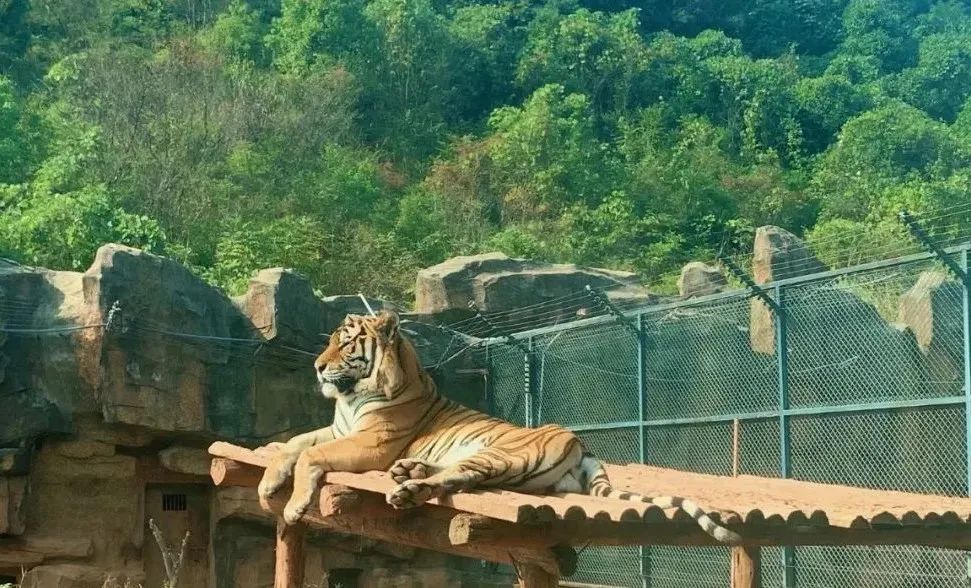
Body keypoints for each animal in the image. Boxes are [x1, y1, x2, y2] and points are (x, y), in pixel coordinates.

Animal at [258, 310, 744, 544]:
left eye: (346, 343)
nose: (318, 368)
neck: (352, 397)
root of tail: (581, 443)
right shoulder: (339, 430)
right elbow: (293, 443)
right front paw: (267, 482)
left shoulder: (371, 442)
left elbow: (311, 455)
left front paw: (294, 506)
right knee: (454, 477)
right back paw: (409, 473)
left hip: (500, 453)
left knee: (459, 478)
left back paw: (406, 488)